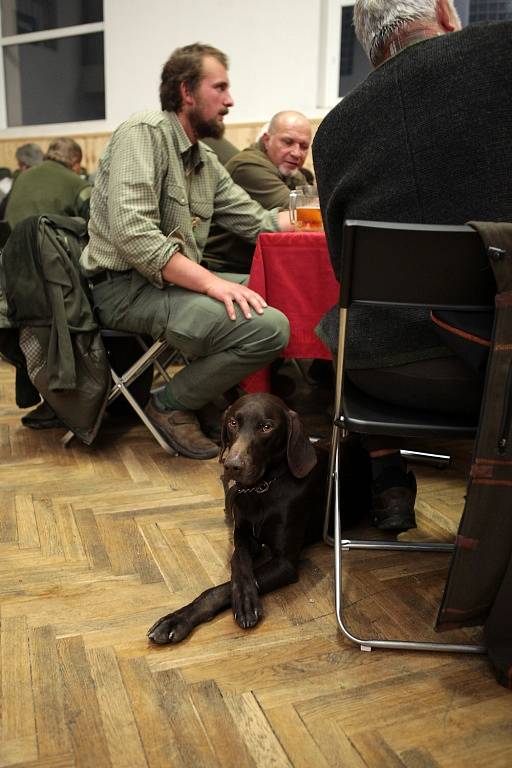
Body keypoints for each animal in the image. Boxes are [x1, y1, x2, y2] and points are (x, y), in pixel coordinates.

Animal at [147, 392, 328, 644]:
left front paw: (244, 601)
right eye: (233, 423)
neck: (262, 489)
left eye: (266, 427)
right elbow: (237, 561)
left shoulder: (285, 563)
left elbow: (223, 587)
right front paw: (177, 617)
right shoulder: (242, 535)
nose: (231, 465)